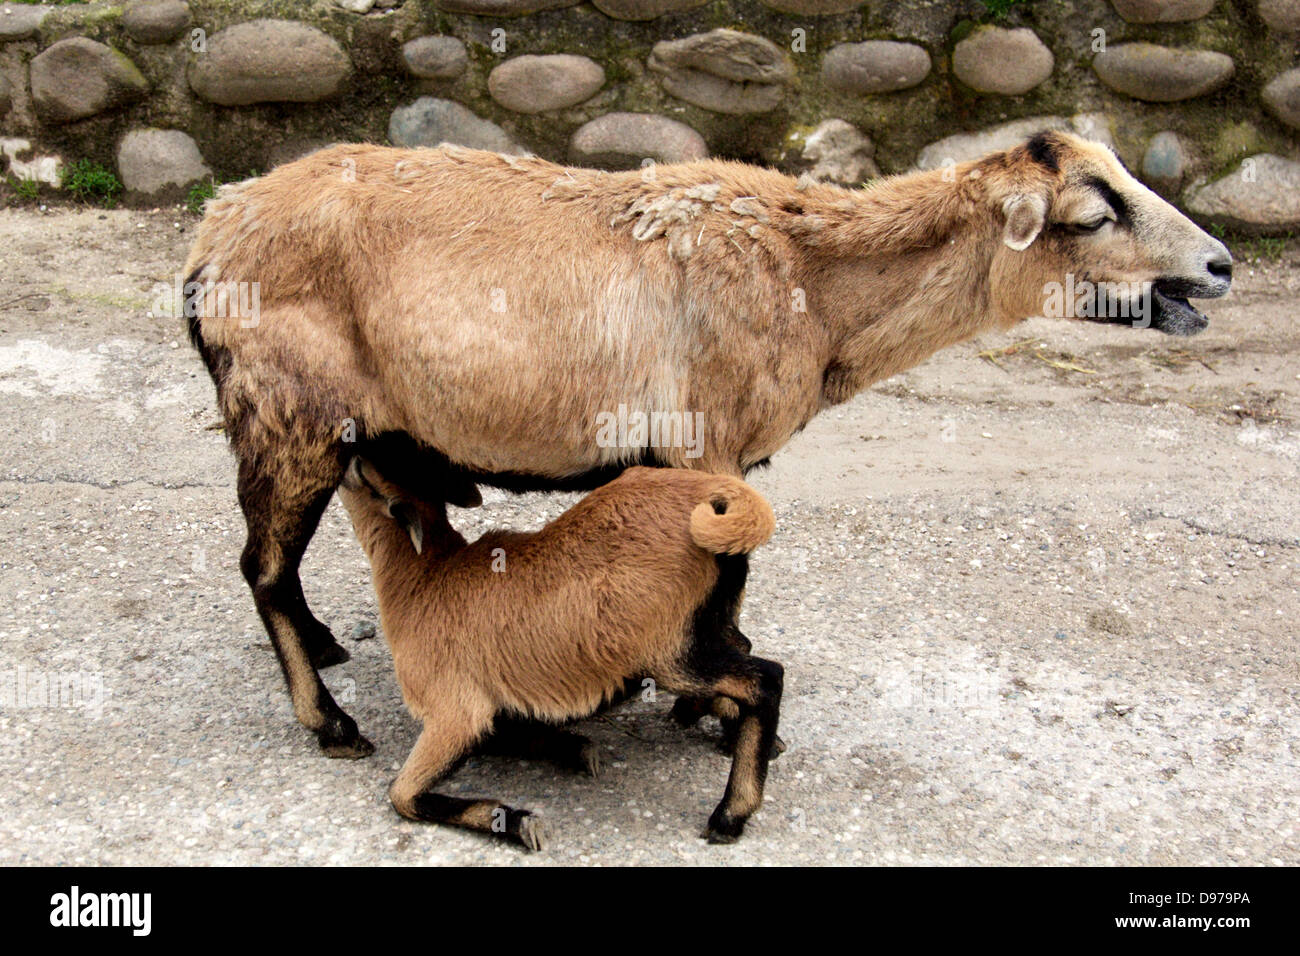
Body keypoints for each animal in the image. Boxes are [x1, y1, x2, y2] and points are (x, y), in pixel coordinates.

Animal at [335, 460, 780, 848]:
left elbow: (401, 794)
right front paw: (576, 750)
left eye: (368, 480)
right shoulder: (492, 708)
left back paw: (729, 816)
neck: (424, 579)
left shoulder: (454, 713)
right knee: (743, 650)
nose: (349, 459)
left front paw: (517, 821)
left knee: (764, 678)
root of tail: (710, 492)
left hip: (668, 652)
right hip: (707, 623)